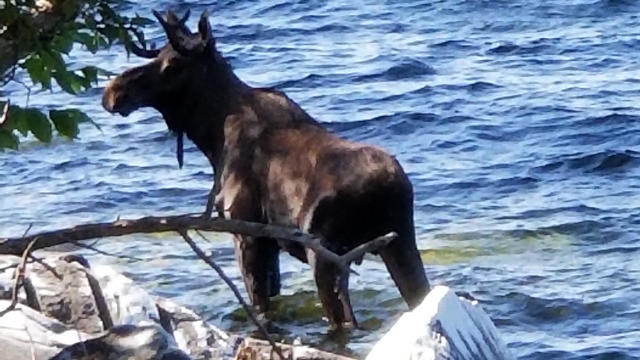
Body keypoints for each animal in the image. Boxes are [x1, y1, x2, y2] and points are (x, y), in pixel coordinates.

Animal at [101, 9, 430, 328]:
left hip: (327, 258)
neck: (212, 135)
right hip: (400, 244)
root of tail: (383, 187)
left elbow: (260, 306)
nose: (113, 92)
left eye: (172, 65)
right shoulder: (269, 245)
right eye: (157, 57)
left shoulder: (247, 237)